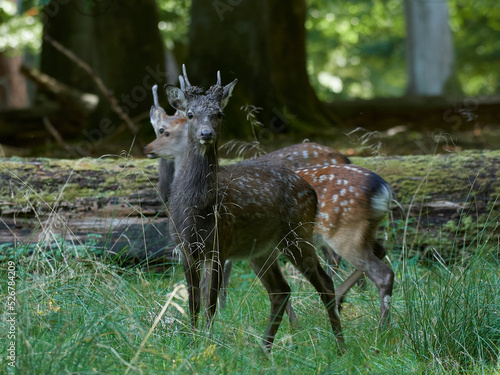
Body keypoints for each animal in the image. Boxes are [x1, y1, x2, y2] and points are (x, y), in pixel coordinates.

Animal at [160, 67, 344, 352]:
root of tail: (312, 192)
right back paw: (264, 351)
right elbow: (193, 303)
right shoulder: (185, 248)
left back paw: (340, 347)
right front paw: (192, 341)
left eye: (219, 114)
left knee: (324, 282)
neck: (197, 207)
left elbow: (211, 303)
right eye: (189, 114)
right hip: (262, 250)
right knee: (281, 290)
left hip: (297, 234)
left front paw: (208, 344)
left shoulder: (219, 244)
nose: (206, 133)